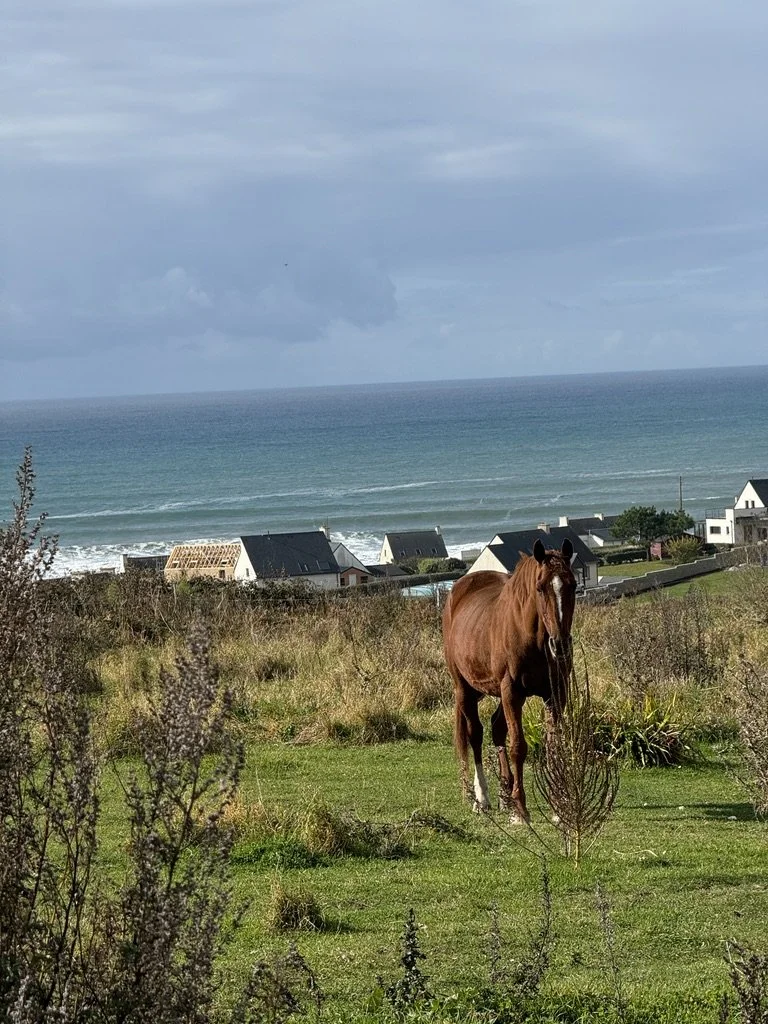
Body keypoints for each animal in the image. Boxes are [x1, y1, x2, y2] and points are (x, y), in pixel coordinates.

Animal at [442, 538, 577, 822]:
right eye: (540, 587)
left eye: (572, 585)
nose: (560, 645)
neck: (533, 638)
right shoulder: (512, 691)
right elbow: (518, 746)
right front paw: (521, 809)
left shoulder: (556, 693)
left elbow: (554, 745)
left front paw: (559, 805)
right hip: (464, 689)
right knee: (475, 734)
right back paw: (482, 798)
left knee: (496, 728)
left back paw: (505, 794)